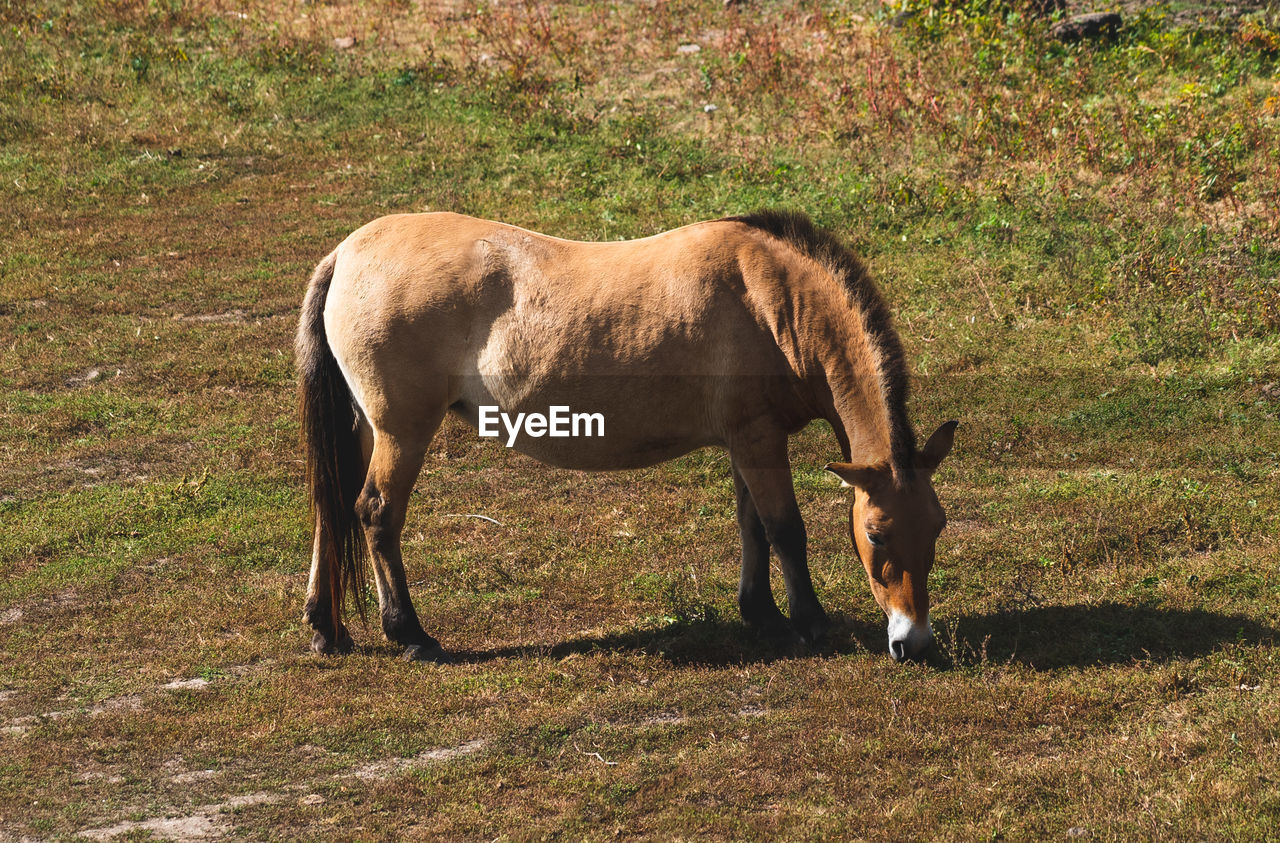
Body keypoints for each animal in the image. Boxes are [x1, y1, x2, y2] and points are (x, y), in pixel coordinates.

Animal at [299, 209, 957, 660]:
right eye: (876, 534)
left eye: (937, 526)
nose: (914, 641)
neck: (773, 302)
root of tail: (346, 254)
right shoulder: (759, 440)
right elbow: (784, 531)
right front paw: (809, 621)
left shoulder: (745, 442)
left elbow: (751, 527)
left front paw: (761, 613)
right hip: (402, 431)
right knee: (376, 513)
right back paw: (410, 634)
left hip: (366, 429)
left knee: (333, 508)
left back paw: (327, 628)